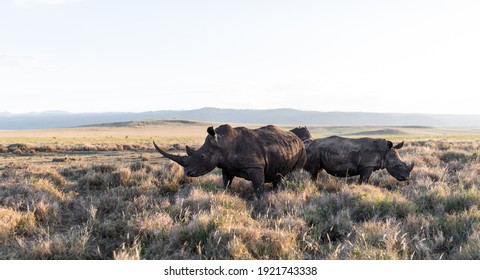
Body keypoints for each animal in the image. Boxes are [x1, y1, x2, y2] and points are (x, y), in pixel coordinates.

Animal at [154, 123, 306, 198]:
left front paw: (262, 201)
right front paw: (225, 194)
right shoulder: (226, 167)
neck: (223, 143)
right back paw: (277, 191)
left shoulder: (254, 166)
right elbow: (226, 184)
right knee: (278, 176)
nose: (187, 173)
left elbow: (258, 187)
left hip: (302, 149)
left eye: (202, 156)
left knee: (295, 172)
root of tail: (299, 139)